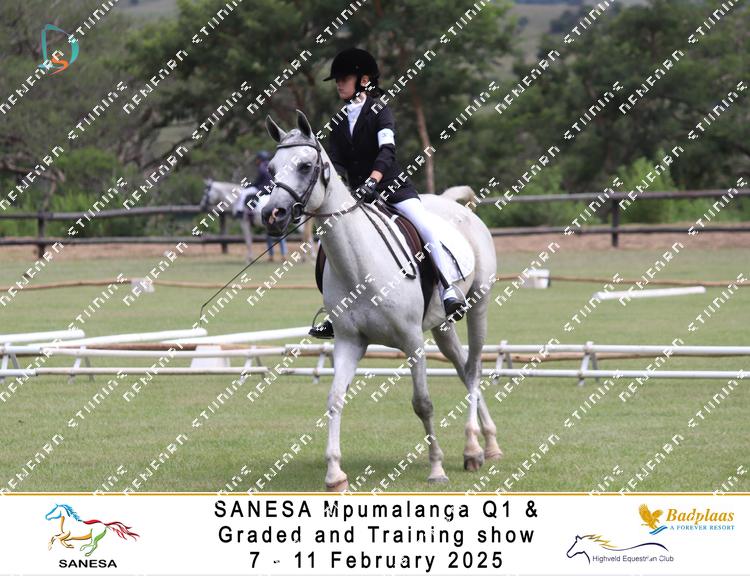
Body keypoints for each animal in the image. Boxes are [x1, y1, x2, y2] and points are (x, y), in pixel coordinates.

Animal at [261, 110, 502, 492]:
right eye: (271, 168)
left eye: (304, 165)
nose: (272, 215)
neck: (361, 265)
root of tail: (451, 204)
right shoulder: (349, 342)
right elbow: (334, 399)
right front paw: (335, 475)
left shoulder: (412, 341)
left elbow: (423, 403)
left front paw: (436, 468)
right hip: (442, 326)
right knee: (464, 368)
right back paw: (482, 446)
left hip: (479, 305)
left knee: (475, 368)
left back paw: (476, 447)